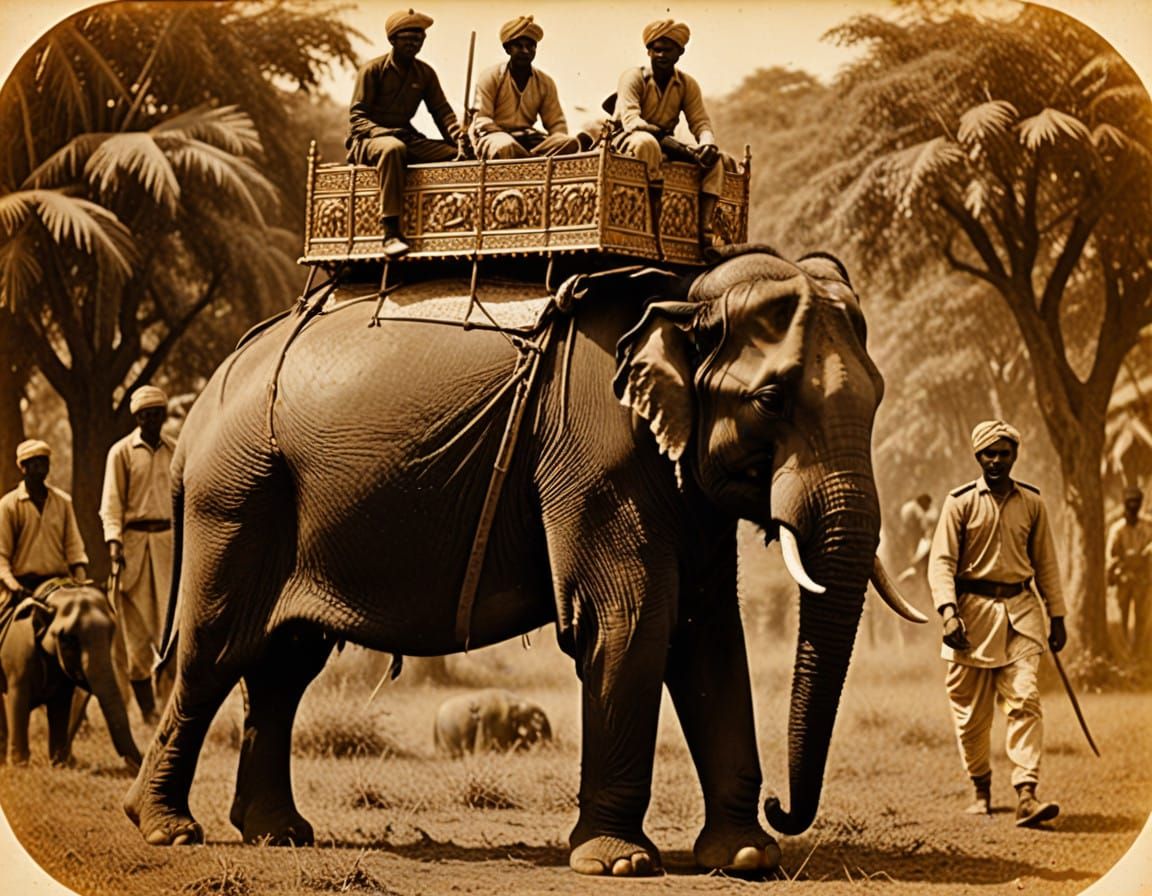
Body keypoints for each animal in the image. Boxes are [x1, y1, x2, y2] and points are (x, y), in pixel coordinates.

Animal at [0, 580, 143, 770]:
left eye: (112, 632)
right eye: (67, 639)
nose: (133, 763)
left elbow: (61, 704)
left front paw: (60, 764)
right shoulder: (18, 658)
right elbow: (18, 699)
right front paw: (20, 765)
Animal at [124, 244, 923, 875]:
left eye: (880, 396)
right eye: (770, 399)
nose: (783, 804)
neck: (683, 289)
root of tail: (199, 412)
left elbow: (707, 630)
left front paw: (748, 858)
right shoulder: (592, 446)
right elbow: (631, 618)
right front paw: (621, 863)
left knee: (285, 664)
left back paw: (279, 835)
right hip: (238, 496)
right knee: (216, 651)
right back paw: (167, 831)